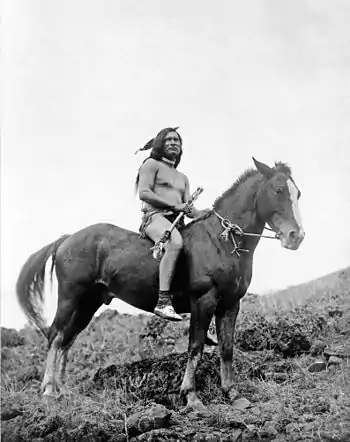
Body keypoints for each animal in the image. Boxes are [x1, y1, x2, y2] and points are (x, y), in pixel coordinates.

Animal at [17, 157, 304, 410]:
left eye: (298, 193)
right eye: (278, 190)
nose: (296, 236)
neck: (221, 241)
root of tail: (68, 239)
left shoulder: (230, 304)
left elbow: (227, 349)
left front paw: (232, 394)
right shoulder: (203, 301)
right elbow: (195, 348)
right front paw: (191, 396)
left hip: (89, 303)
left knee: (68, 339)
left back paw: (61, 388)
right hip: (70, 298)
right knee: (55, 336)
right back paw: (48, 390)